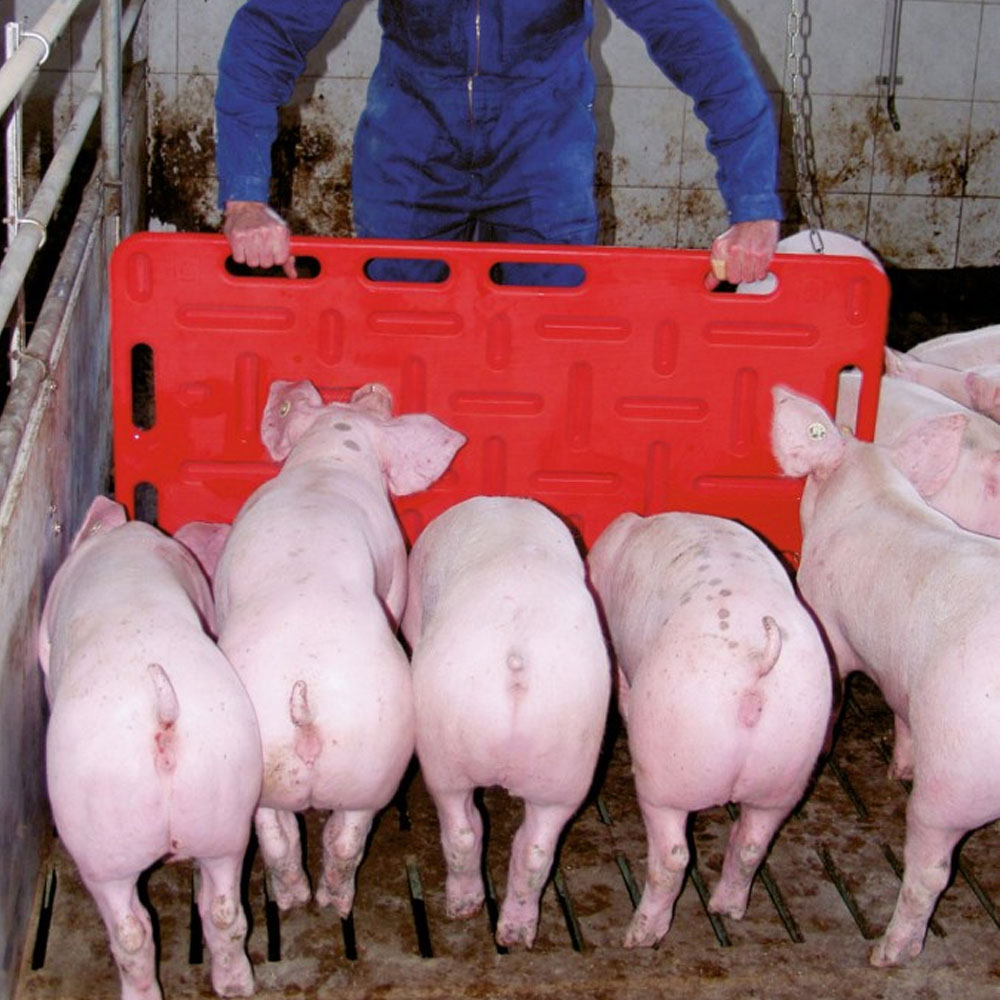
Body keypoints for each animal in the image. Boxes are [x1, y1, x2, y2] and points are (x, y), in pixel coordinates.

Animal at [37, 496, 262, 1000]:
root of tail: (164, 711)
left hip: (98, 836)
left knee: (131, 930)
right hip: (225, 799)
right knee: (224, 909)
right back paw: (236, 985)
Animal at [212, 379, 465, 918]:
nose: (375, 386)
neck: (328, 459)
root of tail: (305, 705)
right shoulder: (395, 570)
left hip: (270, 761)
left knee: (278, 835)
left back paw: (296, 900)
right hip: (376, 758)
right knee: (346, 835)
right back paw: (332, 902)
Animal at [400, 496, 611, 948]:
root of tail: (516, 657)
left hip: (443, 744)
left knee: (462, 829)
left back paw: (462, 909)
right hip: (565, 759)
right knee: (534, 851)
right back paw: (514, 933)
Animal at [587, 510, 833, 948]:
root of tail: (758, 658)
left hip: (667, 755)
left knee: (673, 856)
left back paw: (638, 936)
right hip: (790, 757)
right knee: (753, 842)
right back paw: (727, 908)